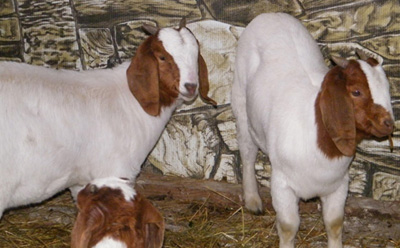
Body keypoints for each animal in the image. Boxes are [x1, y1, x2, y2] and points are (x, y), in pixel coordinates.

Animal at [0, 18, 216, 217]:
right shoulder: (117, 171)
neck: (131, 100)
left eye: (195, 55)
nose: (191, 86)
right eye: (162, 57)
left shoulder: (82, 181)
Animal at [231, 13, 394, 248]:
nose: (389, 123)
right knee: (247, 152)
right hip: (241, 105)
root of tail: (271, 14)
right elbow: (288, 226)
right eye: (356, 91)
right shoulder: (282, 185)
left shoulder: (338, 185)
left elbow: (334, 223)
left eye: (387, 88)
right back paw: (253, 200)